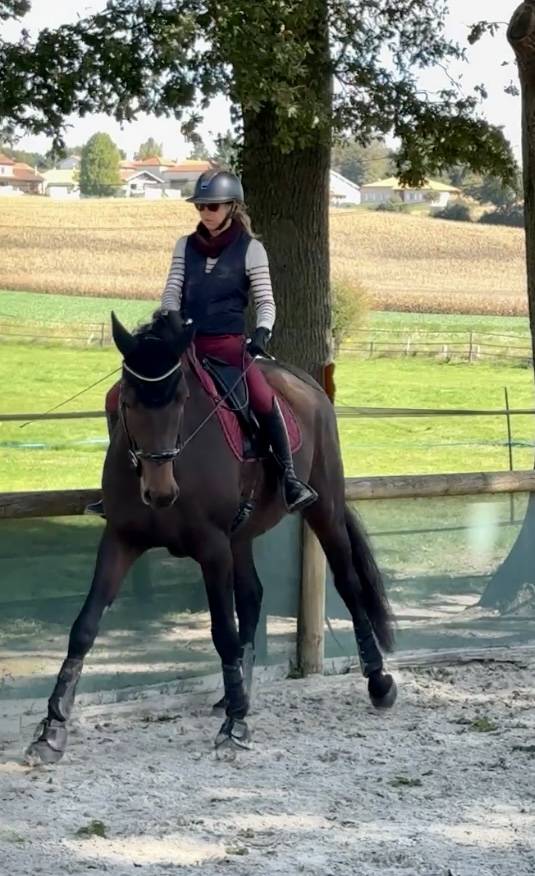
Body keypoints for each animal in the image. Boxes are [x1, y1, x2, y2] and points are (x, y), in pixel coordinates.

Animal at [27, 310, 397, 763]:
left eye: (182, 400)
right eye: (127, 402)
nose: (160, 493)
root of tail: (308, 384)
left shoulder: (213, 548)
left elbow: (223, 632)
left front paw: (235, 726)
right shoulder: (121, 539)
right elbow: (84, 626)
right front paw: (52, 728)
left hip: (323, 506)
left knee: (347, 582)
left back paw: (378, 681)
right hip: (242, 535)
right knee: (253, 595)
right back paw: (240, 693)